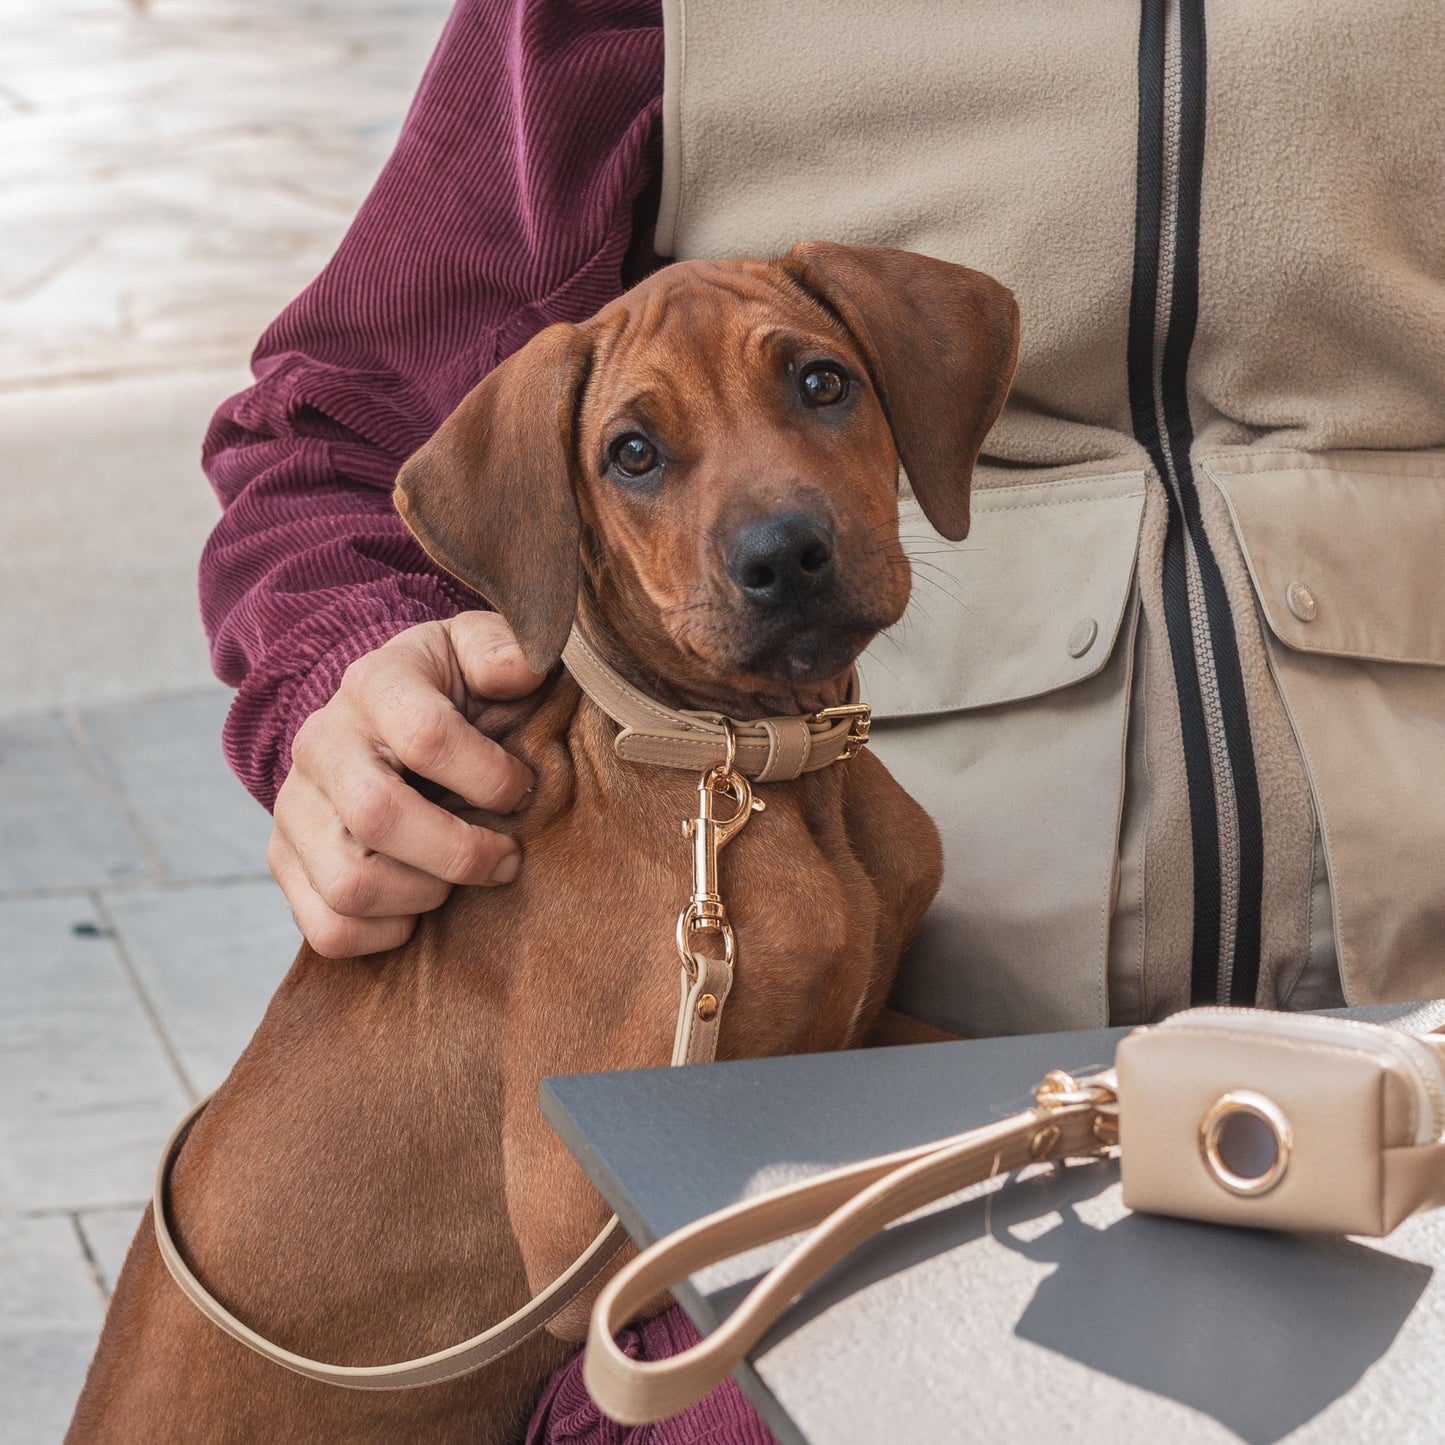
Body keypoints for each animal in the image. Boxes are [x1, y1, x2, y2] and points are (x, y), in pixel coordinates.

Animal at [67, 242, 1017, 1439]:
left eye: (821, 383)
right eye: (632, 453)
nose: (786, 554)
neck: (749, 773)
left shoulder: (863, 1014)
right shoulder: (590, 1209)